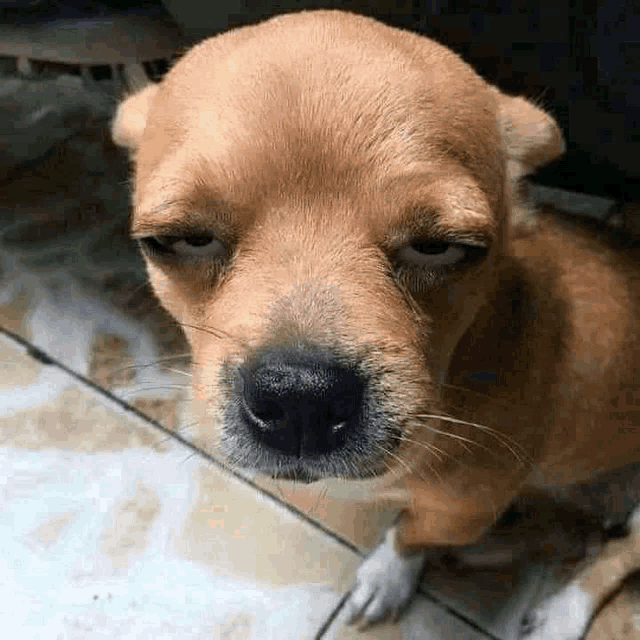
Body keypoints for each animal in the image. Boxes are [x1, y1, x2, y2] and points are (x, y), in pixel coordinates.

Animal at [111, 10, 640, 636]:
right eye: (180, 240)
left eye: (441, 247)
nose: (301, 398)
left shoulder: (461, 510)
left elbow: (410, 536)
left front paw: (388, 575)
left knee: (618, 555)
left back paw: (565, 608)